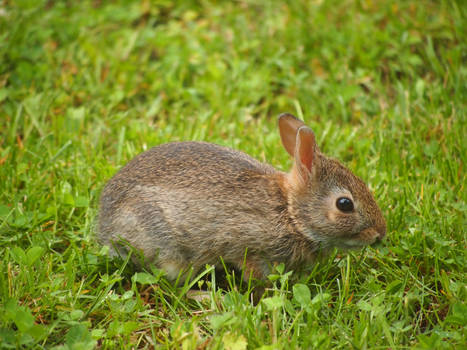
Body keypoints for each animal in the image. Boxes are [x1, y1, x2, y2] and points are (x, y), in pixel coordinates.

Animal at [97, 113, 386, 280]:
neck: (290, 213)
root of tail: (105, 229)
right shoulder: (250, 249)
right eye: (344, 204)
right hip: (166, 248)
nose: (380, 234)